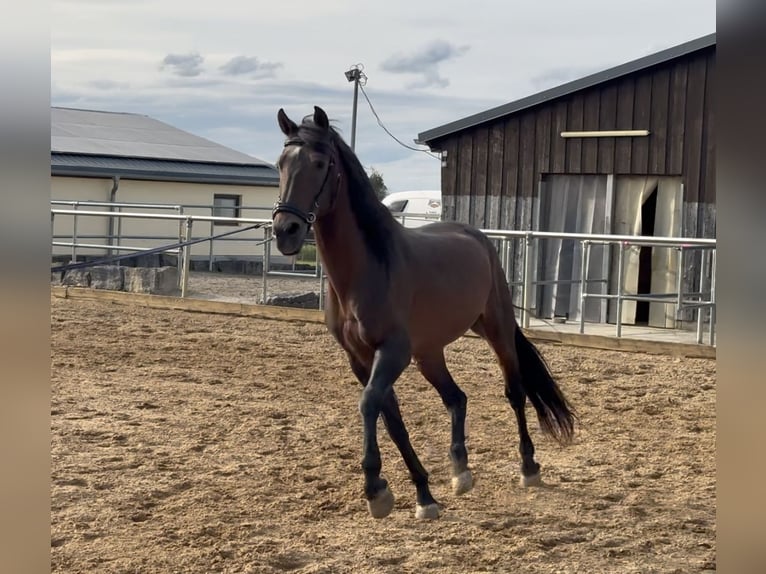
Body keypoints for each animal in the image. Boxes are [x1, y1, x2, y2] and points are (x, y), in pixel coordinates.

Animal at [271, 106, 576, 520]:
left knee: (514, 393)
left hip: (496, 330)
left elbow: (369, 404)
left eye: (319, 163)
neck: (368, 268)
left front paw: (375, 488)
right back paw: (460, 471)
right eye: (280, 163)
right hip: (429, 352)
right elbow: (391, 419)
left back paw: (528, 468)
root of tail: (476, 236)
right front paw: (422, 494)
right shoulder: (360, 359)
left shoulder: (393, 352)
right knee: (456, 398)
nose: (285, 231)